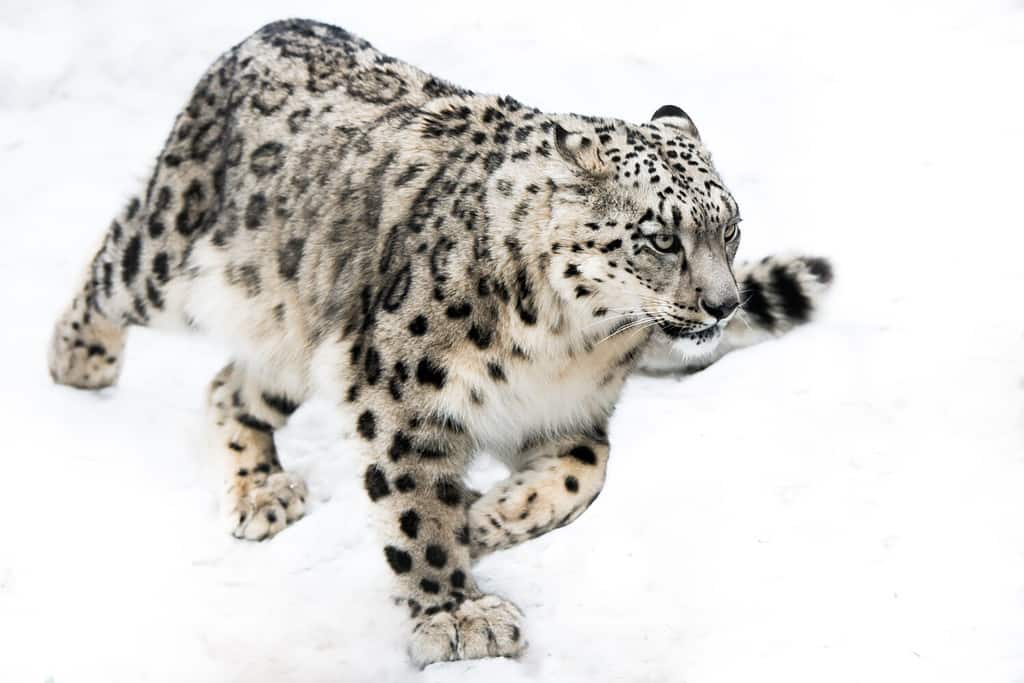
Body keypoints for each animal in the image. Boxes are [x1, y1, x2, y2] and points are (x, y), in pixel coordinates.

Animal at [46, 20, 831, 667]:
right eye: (662, 238)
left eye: (731, 228)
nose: (724, 304)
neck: (571, 344)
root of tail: (268, 29)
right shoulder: (401, 397)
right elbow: (416, 510)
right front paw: (457, 616)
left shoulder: (570, 414)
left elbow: (582, 479)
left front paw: (485, 520)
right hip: (169, 250)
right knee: (112, 266)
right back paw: (80, 361)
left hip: (298, 334)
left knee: (229, 387)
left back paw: (262, 488)